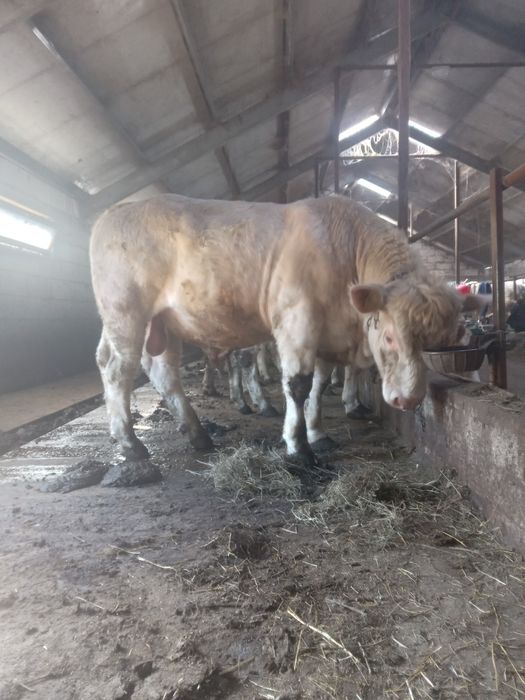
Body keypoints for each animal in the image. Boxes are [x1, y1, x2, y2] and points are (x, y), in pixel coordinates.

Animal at [90, 194, 475, 467]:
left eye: (430, 343)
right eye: (390, 336)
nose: (408, 399)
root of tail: (116, 209)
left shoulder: (327, 334)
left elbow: (320, 383)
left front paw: (317, 432)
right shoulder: (297, 321)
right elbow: (298, 385)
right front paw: (298, 446)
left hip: (161, 324)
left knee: (160, 371)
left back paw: (197, 434)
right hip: (126, 312)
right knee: (118, 370)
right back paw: (130, 443)